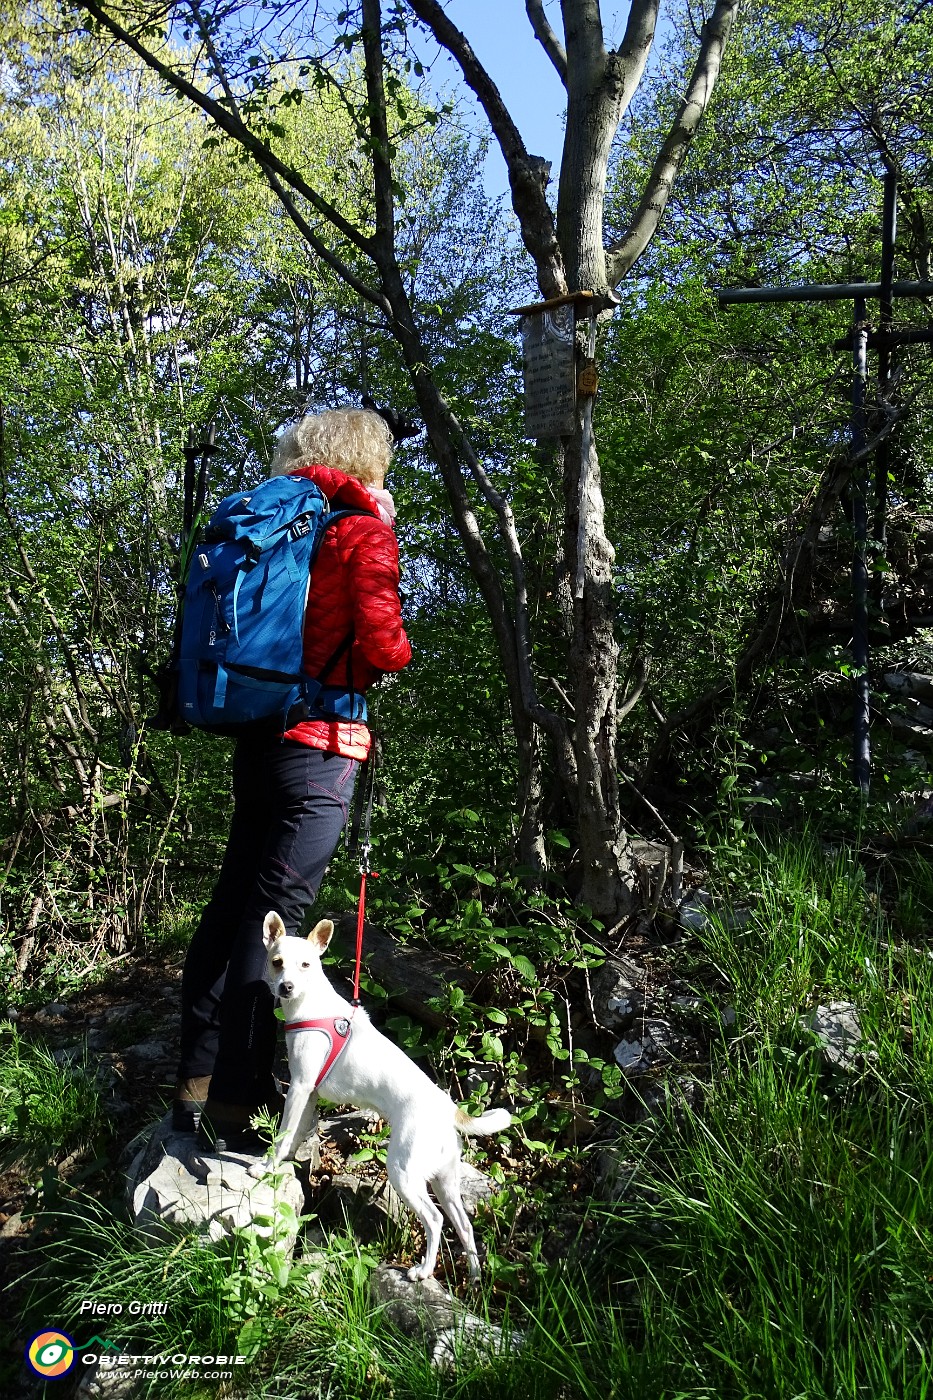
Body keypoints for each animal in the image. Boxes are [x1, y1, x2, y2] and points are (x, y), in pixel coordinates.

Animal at [252, 907, 509, 1282]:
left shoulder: (299, 1086)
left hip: (404, 1173)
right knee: (464, 1225)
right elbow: (297, 1133)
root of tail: (447, 1108)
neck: (311, 1005)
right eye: (277, 962)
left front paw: (267, 1166)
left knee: (435, 1220)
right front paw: (285, 1160)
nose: (286, 987)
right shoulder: (309, 1091)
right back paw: (474, 1276)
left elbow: (284, 1134)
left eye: (306, 965)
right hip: (445, 1181)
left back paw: (423, 1270)